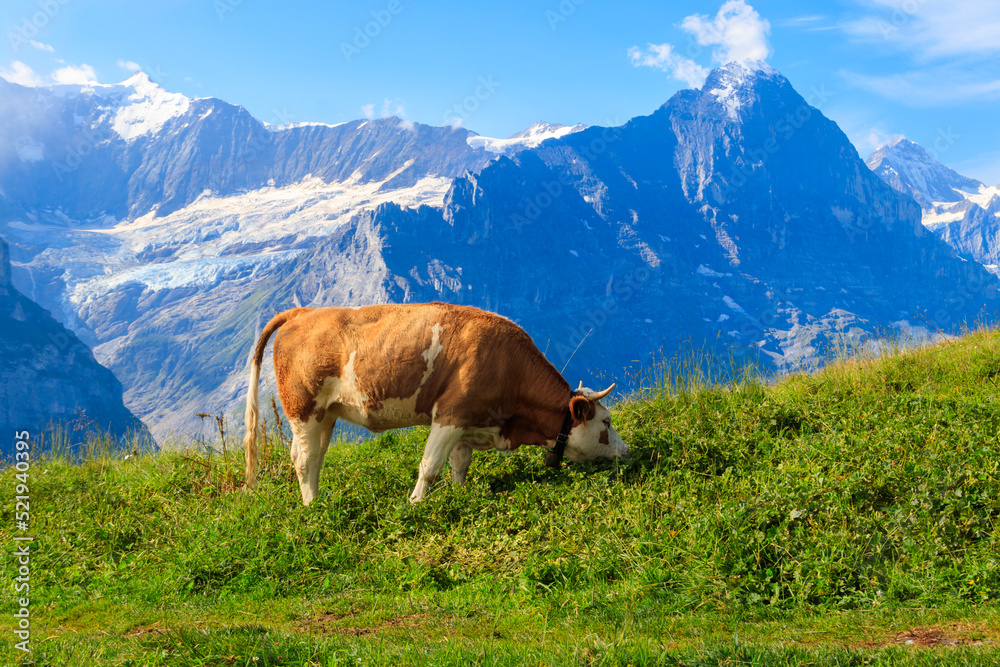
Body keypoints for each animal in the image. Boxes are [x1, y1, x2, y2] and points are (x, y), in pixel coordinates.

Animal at [243, 304, 628, 506]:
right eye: (606, 422)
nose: (626, 451)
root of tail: (302, 312)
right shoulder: (450, 414)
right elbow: (429, 466)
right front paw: (415, 504)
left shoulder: (467, 420)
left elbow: (460, 464)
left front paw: (460, 495)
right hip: (303, 408)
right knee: (303, 459)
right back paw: (312, 508)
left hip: (326, 414)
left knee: (313, 458)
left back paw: (319, 500)